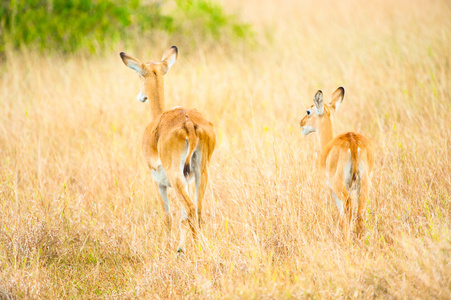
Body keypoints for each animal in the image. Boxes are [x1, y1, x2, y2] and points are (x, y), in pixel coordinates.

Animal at [121, 46, 216, 253]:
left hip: (175, 176)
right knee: (197, 209)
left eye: (139, 75)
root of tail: (189, 124)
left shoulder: (158, 183)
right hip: (200, 172)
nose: (140, 97)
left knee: (189, 208)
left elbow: (167, 216)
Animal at [300, 88, 374, 238]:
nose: (301, 123)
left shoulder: (331, 189)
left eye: (308, 111)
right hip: (364, 184)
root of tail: (353, 143)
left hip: (339, 186)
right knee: (360, 213)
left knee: (349, 207)